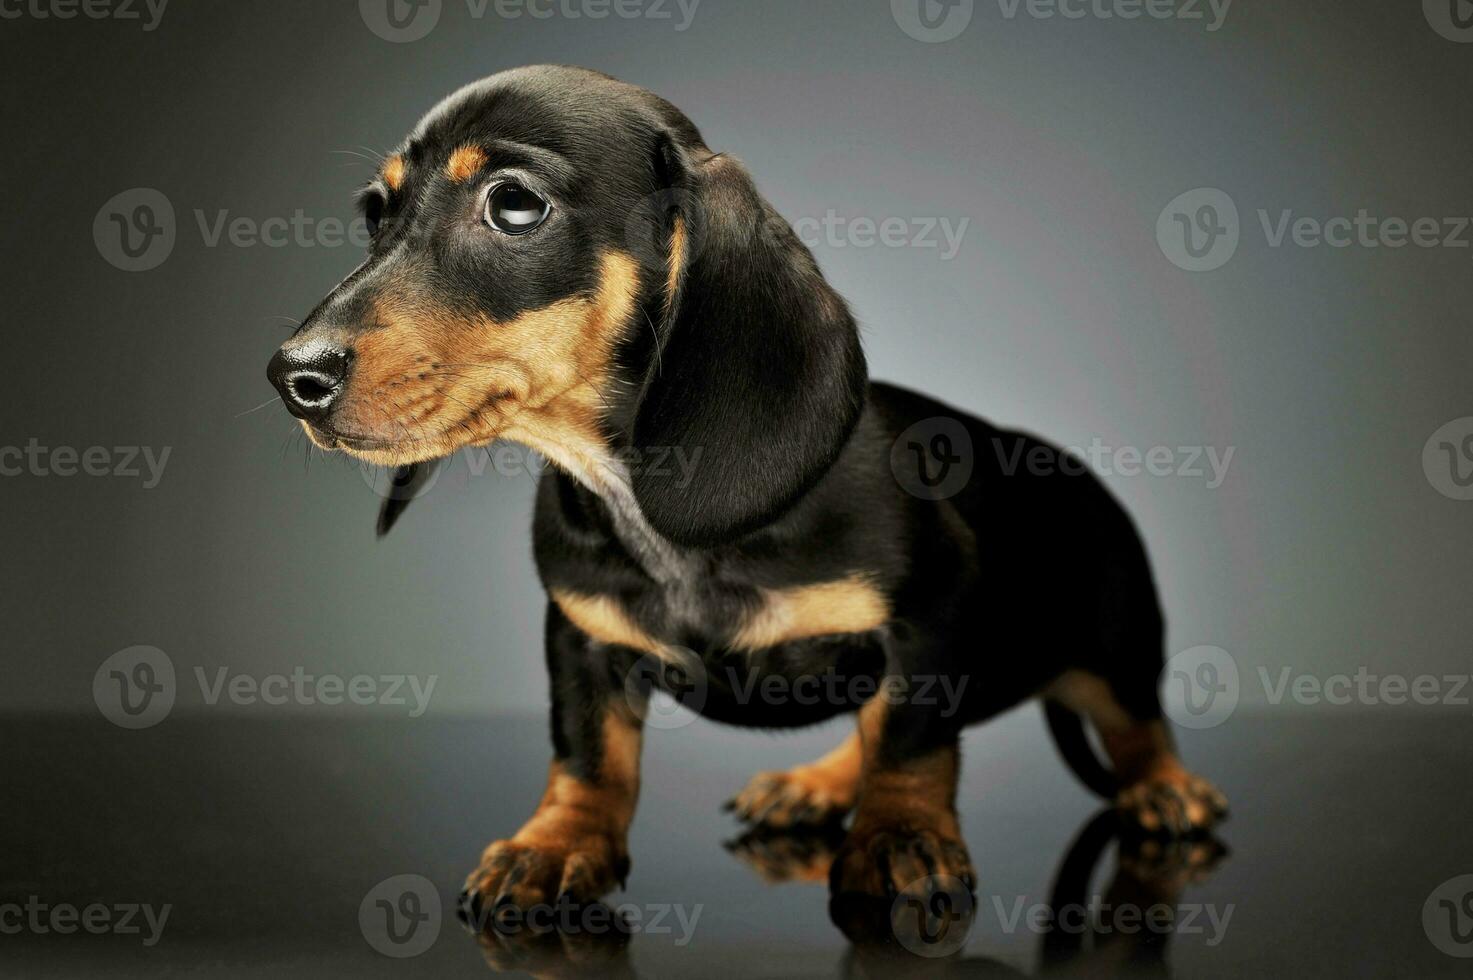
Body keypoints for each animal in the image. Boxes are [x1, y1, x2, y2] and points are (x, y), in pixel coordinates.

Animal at [268, 67, 1231, 919]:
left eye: (514, 204)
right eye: (375, 213)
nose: (292, 377)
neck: (650, 510)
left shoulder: (931, 614)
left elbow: (909, 743)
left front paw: (900, 836)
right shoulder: (577, 634)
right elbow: (587, 754)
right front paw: (556, 844)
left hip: (1118, 637)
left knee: (1137, 723)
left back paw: (1166, 791)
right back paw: (812, 785)